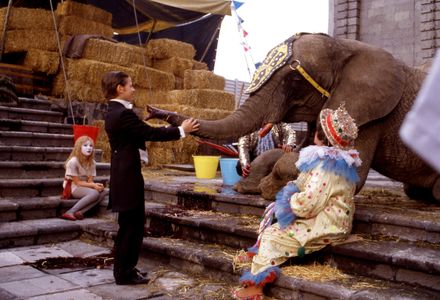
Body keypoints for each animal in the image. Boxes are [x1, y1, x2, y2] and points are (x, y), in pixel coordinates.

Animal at [148, 32, 440, 202]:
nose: (151, 110)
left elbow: (348, 171)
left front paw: (267, 188)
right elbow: (295, 151)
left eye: (295, 79)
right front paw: (247, 186)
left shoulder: (371, 113)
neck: (345, 47)